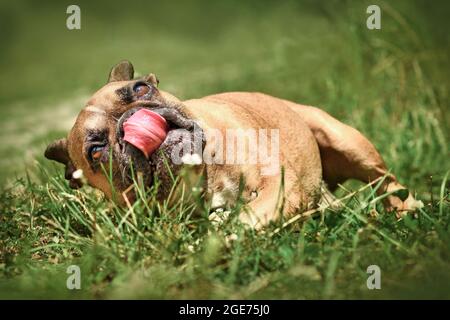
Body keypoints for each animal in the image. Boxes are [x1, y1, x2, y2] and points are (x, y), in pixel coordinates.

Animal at [44, 60, 420, 228]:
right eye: (96, 150)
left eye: (140, 88)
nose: (130, 120)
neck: (203, 174)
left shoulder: (279, 185)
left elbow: (248, 215)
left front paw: (228, 234)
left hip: (345, 140)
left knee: (387, 181)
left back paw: (406, 208)